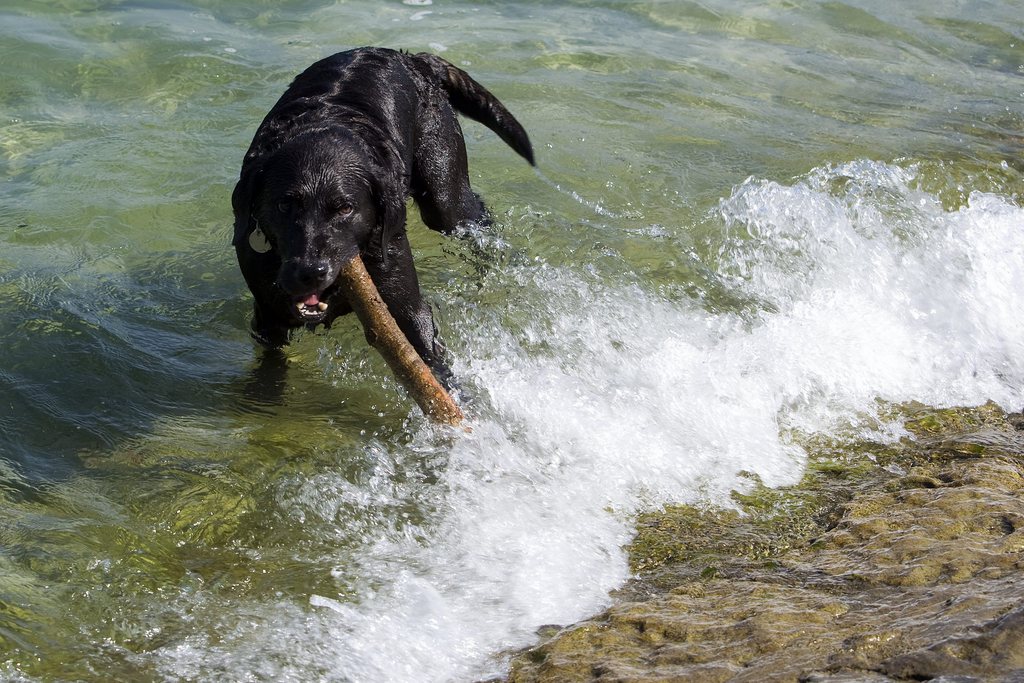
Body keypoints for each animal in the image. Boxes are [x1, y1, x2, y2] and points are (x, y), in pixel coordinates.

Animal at [233, 48, 536, 387]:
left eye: (345, 208)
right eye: (285, 205)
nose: (310, 271)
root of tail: (413, 58)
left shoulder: (407, 303)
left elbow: (429, 360)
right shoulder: (267, 316)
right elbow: (270, 365)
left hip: (445, 193)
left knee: (472, 216)